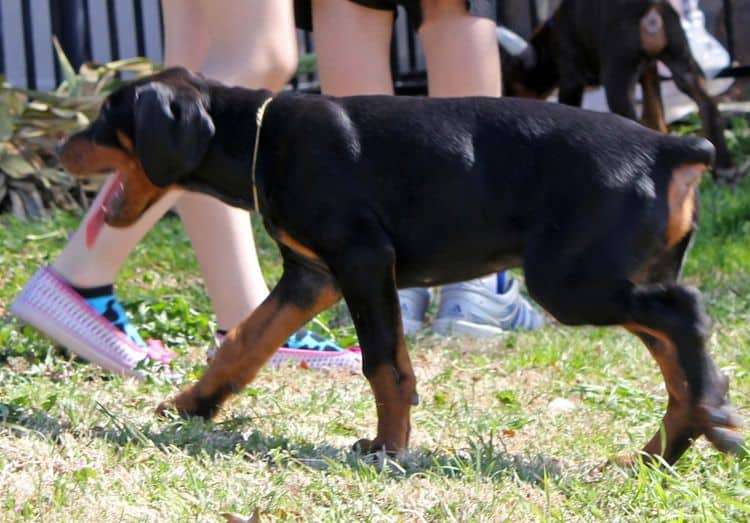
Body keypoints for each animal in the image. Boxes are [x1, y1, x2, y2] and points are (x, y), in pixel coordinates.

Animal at [60, 67, 748, 464]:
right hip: (618, 274)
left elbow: (384, 365)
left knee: (685, 315)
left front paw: (388, 448)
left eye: (107, 117)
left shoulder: (363, 261)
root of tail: (670, 146)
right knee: (676, 360)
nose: (60, 145)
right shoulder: (313, 276)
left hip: (572, 282)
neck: (258, 135)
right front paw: (193, 405)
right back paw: (665, 447)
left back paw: (707, 414)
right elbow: (245, 343)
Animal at [500, 0, 740, 180]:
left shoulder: (570, 78)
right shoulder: (649, 71)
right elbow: (655, 114)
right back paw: (725, 168)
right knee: (707, 105)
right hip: (682, 61)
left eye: (509, 81)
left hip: (617, 77)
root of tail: (650, 8)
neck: (548, 39)